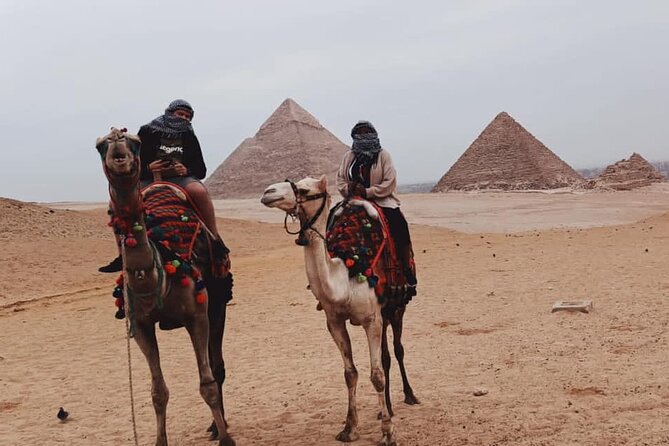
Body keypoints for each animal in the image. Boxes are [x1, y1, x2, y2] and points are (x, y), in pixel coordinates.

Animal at [95, 128, 235, 446]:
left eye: (134, 142)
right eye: (99, 146)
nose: (117, 144)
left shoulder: (197, 314)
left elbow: (207, 383)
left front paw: (226, 439)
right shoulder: (140, 326)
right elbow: (157, 391)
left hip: (217, 303)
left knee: (217, 366)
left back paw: (218, 425)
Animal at [261, 175, 419, 445]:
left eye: (304, 190)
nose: (267, 192)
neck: (345, 274)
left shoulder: (371, 319)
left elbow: (376, 375)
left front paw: (389, 433)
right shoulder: (334, 321)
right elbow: (350, 373)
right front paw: (349, 428)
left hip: (396, 308)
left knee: (397, 350)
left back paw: (408, 396)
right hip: (383, 314)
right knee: (386, 355)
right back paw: (384, 409)